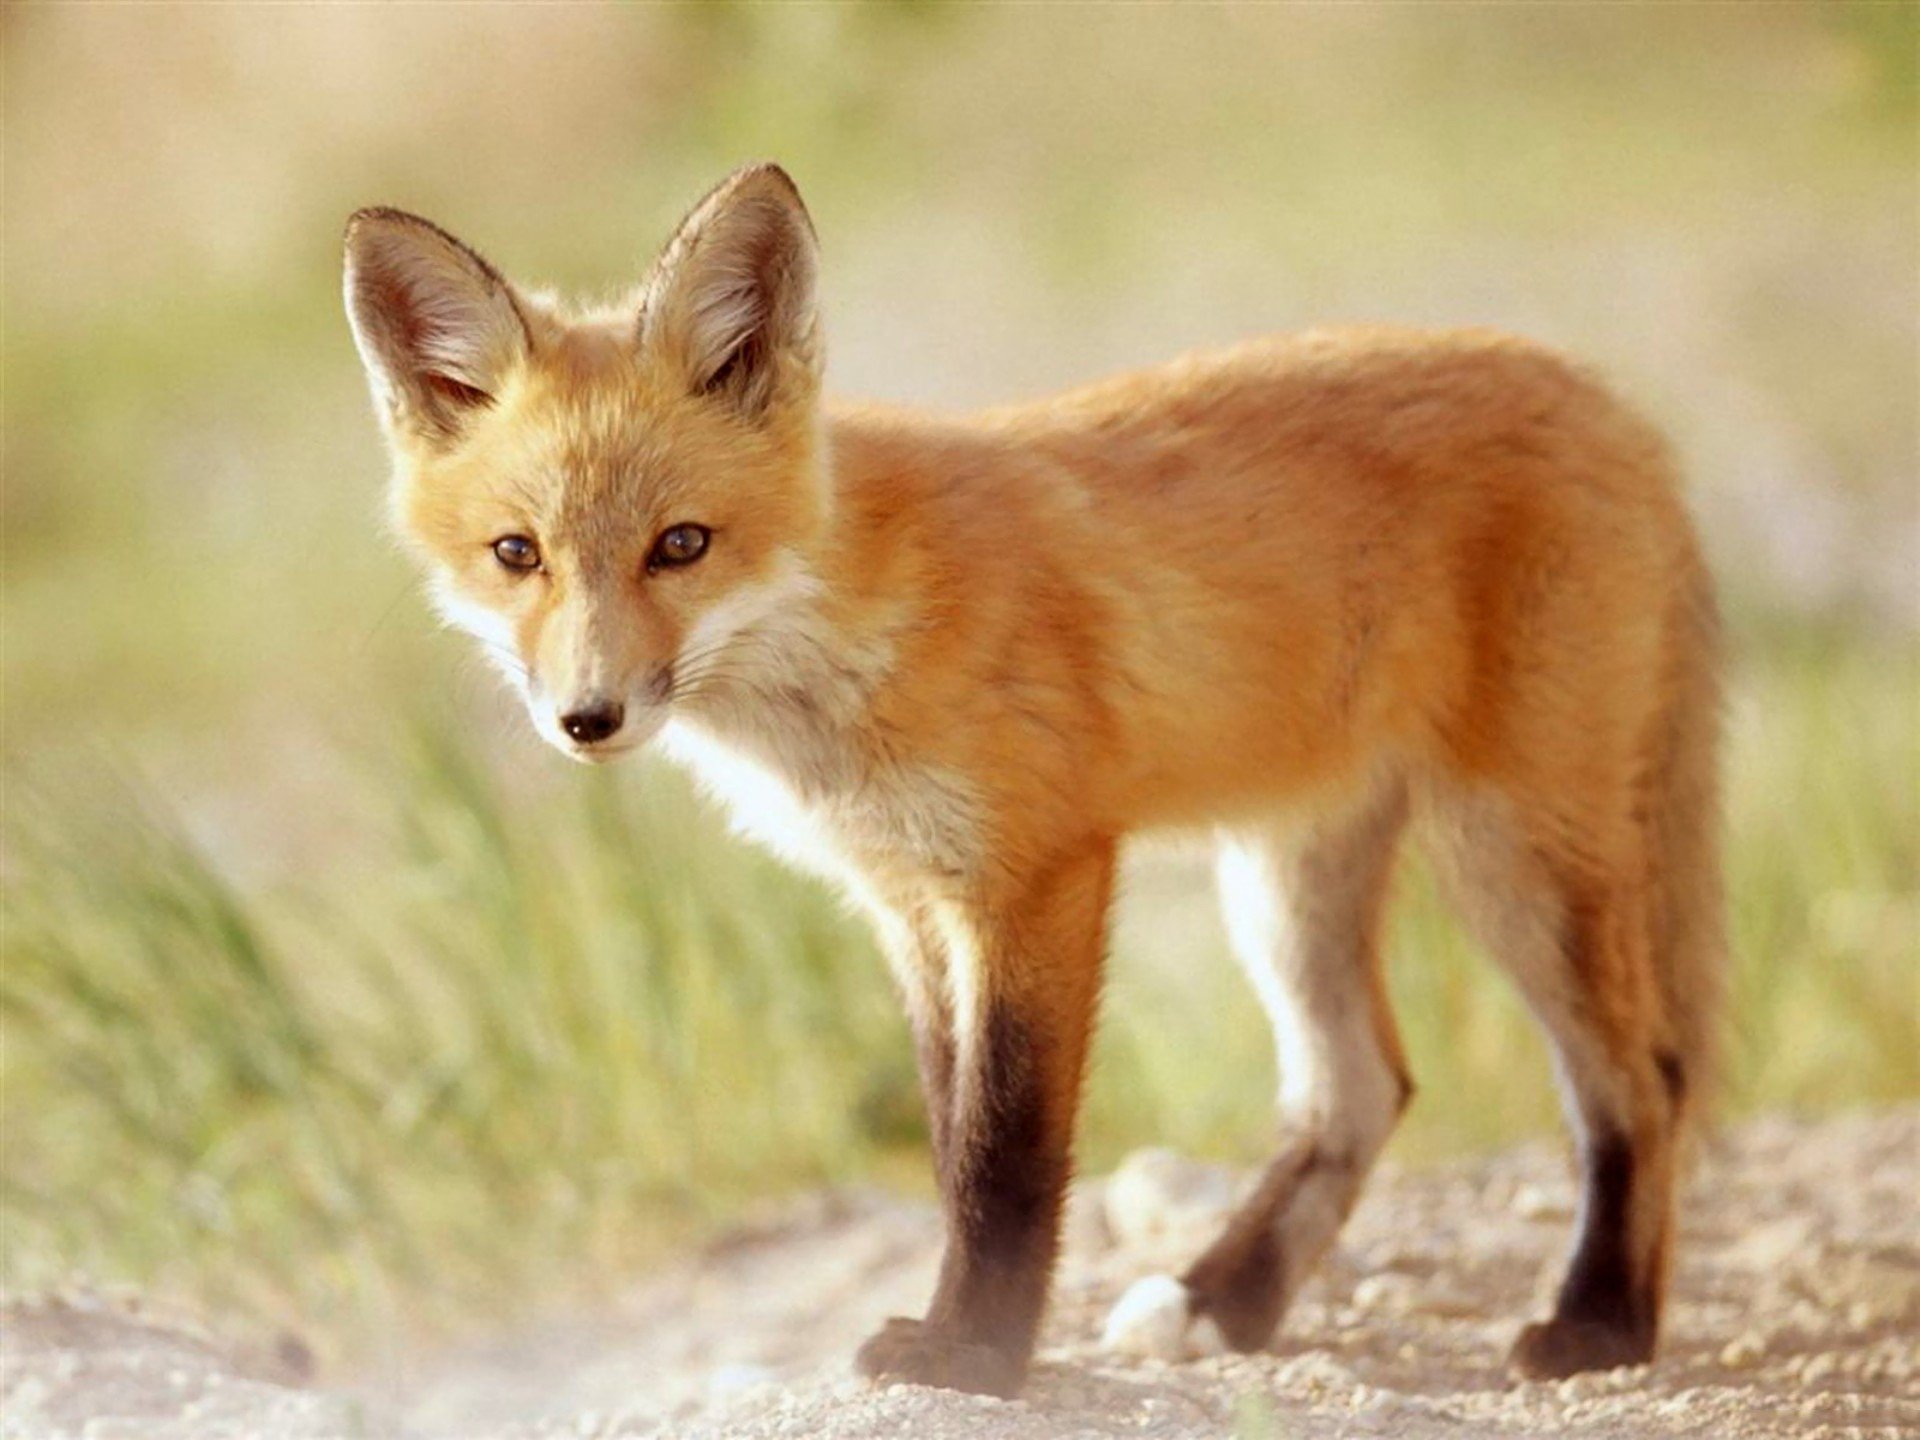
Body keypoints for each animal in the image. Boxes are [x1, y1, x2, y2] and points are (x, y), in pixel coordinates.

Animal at [343, 163, 1723, 1398]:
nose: (588, 717)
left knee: (1641, 1080)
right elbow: (950, 1138)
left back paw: (1599, 1325)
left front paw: (976, 1359)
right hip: (1285, 879)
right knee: (1361, 1090)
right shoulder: (909, 905)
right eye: (517, 555)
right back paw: (1225, 1303)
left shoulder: (1038, 873)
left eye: (680, 546)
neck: (849, 636)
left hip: (1515, 854)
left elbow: (1006, 1154)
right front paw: (977, 1336)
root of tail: (1609, 397)